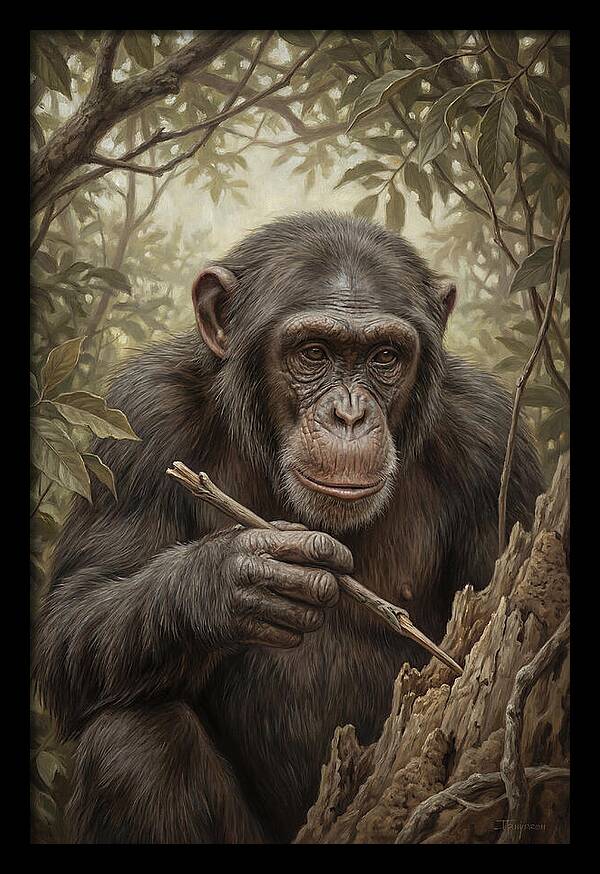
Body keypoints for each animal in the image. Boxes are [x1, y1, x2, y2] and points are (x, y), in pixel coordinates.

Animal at [33, 212, 543, 843]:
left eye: (384, 357)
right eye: (313, 353)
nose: (349, 414)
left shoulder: (495, 444)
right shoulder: (140, 417)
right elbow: (72, 617)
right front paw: (234, 580)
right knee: (132, 740)